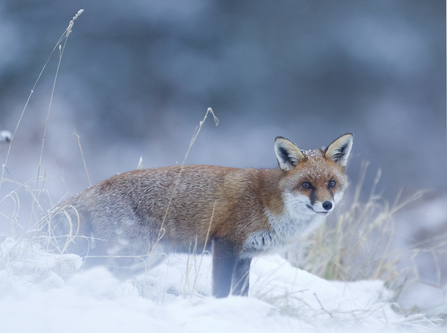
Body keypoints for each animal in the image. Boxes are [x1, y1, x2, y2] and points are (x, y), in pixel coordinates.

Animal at [45, 134, 354, 296]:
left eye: (331, 184)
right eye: (306, 185)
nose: (327, 205)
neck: (269, 204)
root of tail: (94, 188)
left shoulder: (246, 256)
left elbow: (241, 293)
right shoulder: (226, 244)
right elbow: (220, 290)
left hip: (142, 259)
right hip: (131, 254)